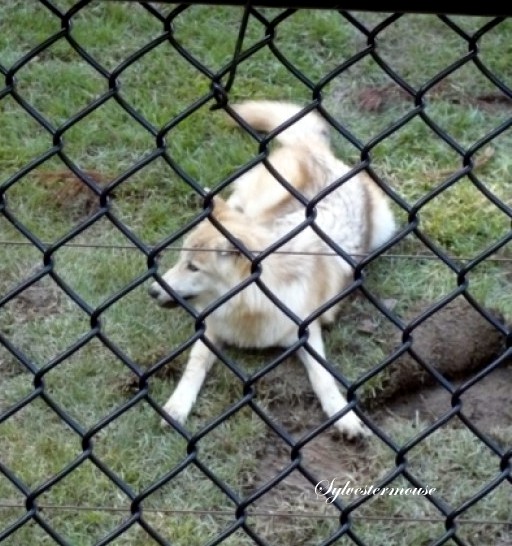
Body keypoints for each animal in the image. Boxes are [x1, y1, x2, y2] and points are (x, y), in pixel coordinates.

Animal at [148, 99, 396, 438]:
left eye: (193, 267)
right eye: (180, 260)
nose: (151, 290)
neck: (252, 305)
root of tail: (316, 150)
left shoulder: (307, 332)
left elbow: (323, 377)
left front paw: (344, 417)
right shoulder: (210, 329)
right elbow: (193, 367)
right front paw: (176, 406)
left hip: (386, 229)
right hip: (252, 201)